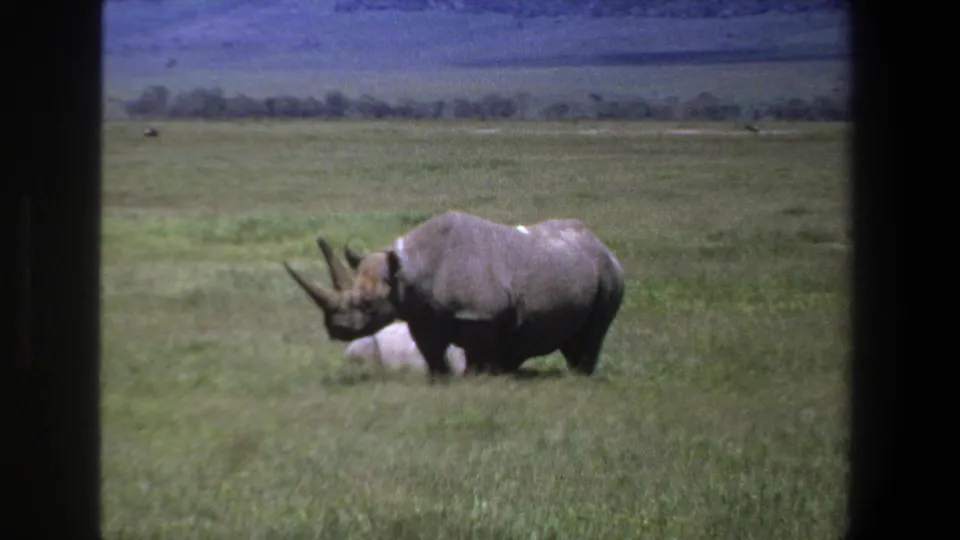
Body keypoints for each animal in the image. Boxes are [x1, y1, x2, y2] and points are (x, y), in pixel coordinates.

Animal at [282, 210, 625, 377]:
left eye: (367, 304)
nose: (336, 329)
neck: (409, 269)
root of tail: (601, 244)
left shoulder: (481, 315)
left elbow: (478, 354)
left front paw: (477, 379)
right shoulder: (421, 314)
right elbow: (432, 352)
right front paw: (440, 380)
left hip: (609, 274)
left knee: (594, 333)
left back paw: (579, 376)